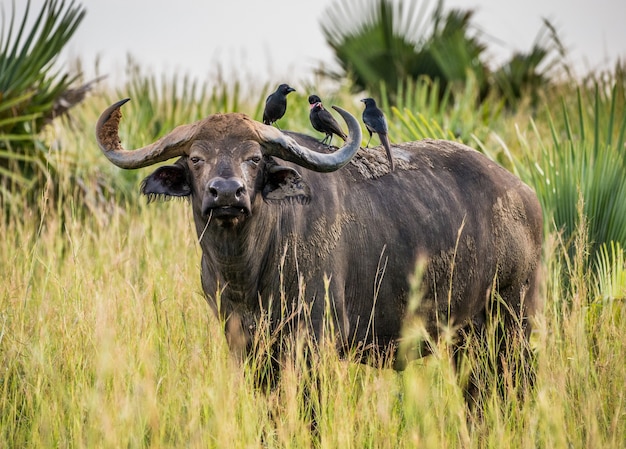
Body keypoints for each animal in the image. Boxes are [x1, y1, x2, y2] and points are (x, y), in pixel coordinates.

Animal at [95, 100, 540, 394]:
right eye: (195, 158)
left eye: (254, 158)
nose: (226, 193)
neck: (248, 271)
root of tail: (524, 196)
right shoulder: (244, 345)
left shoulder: (314, 343)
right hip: (468, 341)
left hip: (514, 325)